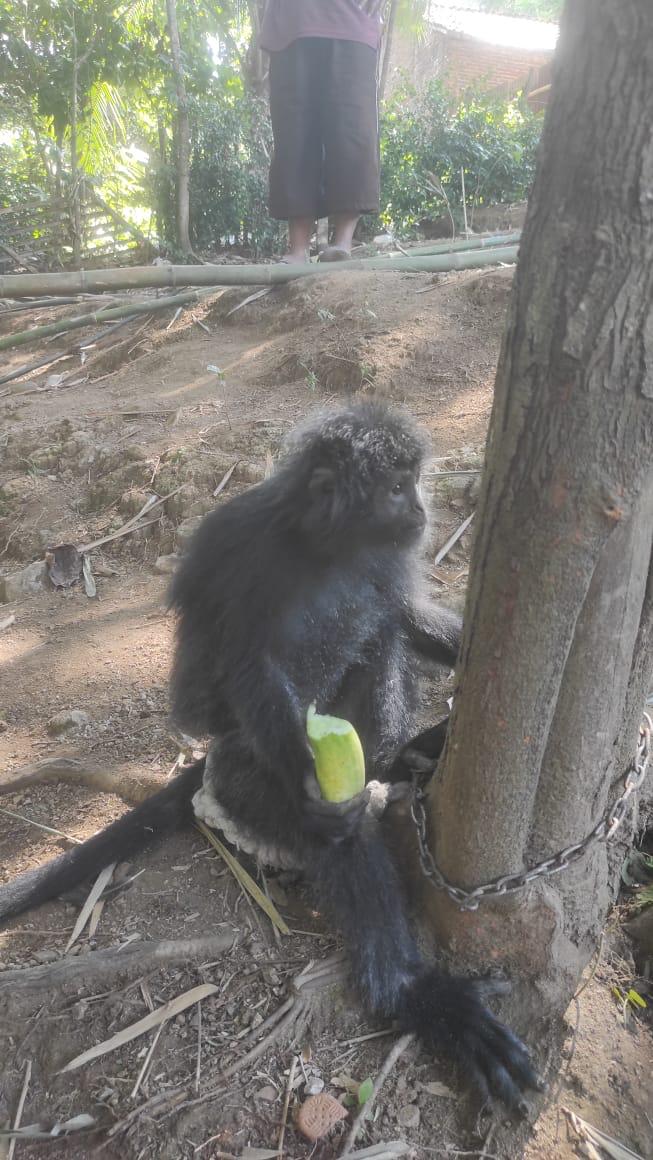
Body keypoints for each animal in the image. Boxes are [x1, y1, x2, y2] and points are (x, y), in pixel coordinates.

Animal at [2, 406, 538, 1104]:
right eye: (398, 487)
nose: (423, 506)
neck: (322, 549)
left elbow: (405, 613)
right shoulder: (241, 550)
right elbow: (240, 673)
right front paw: (315, 785)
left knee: (381, 634)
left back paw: (404, 760)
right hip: (241, 780)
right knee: (335, 823)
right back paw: (415, 996)